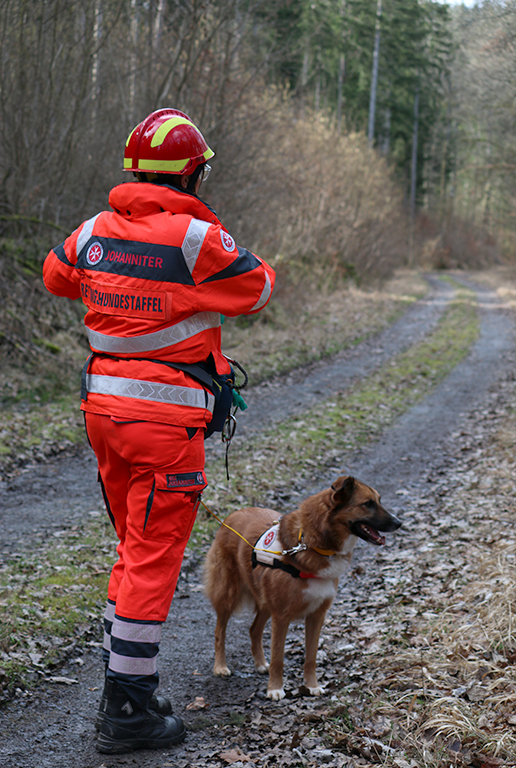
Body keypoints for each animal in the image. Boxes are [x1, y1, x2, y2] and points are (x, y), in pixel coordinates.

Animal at [204, 474, 402, 704]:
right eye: (368, 504)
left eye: (378, 500)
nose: (399, 523)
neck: (312, 543)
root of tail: (232, 515)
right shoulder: (281, 616)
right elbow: (278, 657)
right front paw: (275, 689)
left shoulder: (316, 615)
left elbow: (311, 657)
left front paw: (311, 686)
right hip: (228, 594)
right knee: (219, 631)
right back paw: (220, 666)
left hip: (265, 602)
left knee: (254, 629)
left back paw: (260, 664)